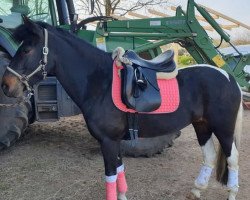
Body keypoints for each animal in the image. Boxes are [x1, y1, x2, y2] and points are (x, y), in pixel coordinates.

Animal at [0, 18, 241, 199]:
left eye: (27, 49)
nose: (5, 85)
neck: (100, 83)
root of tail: (229, 77)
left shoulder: (107, 141)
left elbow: (111, 176)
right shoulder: (114, 141)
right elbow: (120, 171)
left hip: (224, 129)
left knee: (232, 159)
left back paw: (231, 192)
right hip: (202, 125)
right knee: (210, 156)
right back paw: (197, 190)